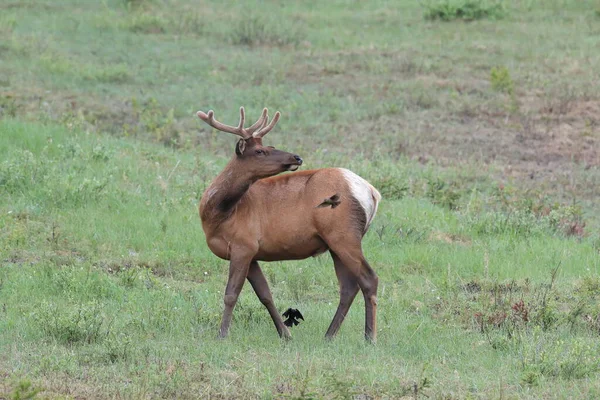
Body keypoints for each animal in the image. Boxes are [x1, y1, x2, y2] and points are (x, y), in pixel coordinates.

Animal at [198, 105, 384, 340]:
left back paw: (370, 337)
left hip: (344, 235)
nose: (296, 157)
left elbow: (231, 294)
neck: (218, 215)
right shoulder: (252, 253)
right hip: (336, 243)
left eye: (267, 146)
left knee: (369, 279)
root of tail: (372, 192)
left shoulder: (243, 245)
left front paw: (222, 335)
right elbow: (265, 294)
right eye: (261, 151)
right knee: (349, 286)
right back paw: (329, 335)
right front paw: (285, 334)